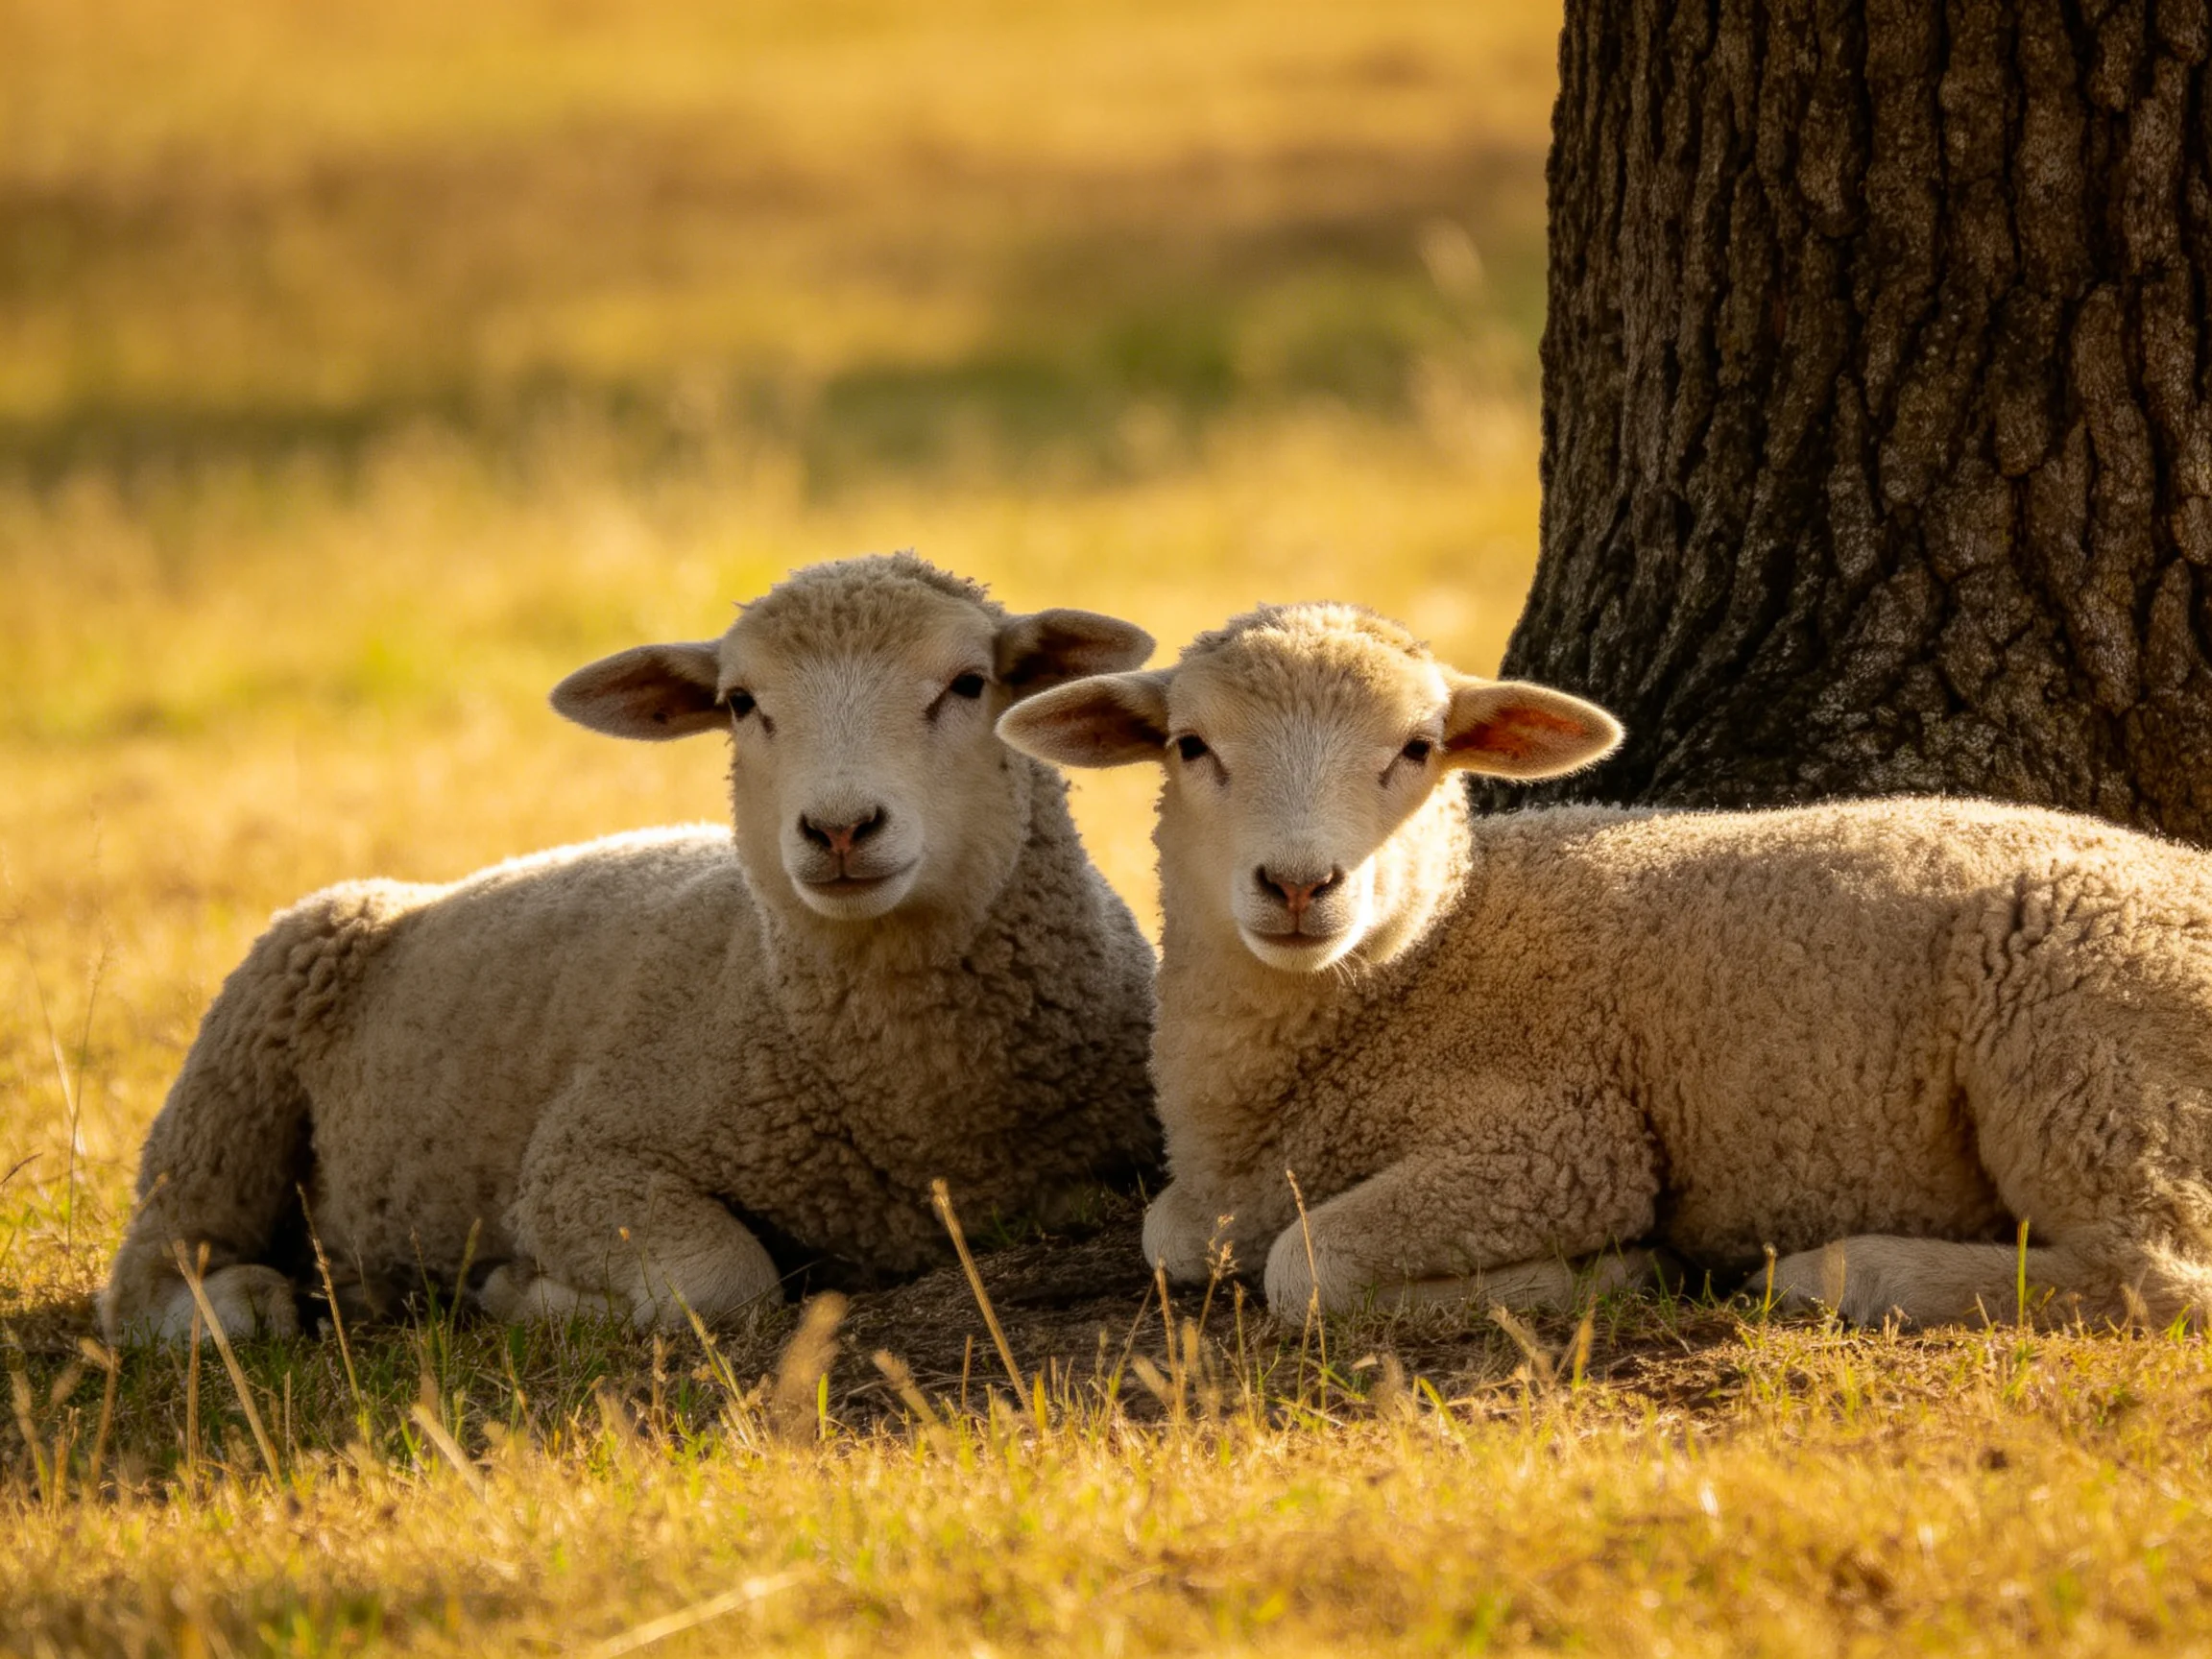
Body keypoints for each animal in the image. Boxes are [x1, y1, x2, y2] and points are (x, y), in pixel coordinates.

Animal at [102, 554, 1160, 1344]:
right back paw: (242, 1304)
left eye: (969, 683)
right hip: (235, 1076)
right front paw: (516, 1294)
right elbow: (722, 1279)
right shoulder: (583, 1163)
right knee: (154, 1263)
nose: (839, 828)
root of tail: (408, 891)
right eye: (740, 703)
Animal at [996, 601, 2212, 1329]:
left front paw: (1610, 1273)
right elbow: (1170, 1237)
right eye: (1190, 747)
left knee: (2154, 1276)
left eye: (1417, 751)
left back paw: (1839, 1273)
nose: (1299, 885)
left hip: (2089, 1058)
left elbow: (1305, 1268)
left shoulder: (1557, 1142)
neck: (1429, 954)